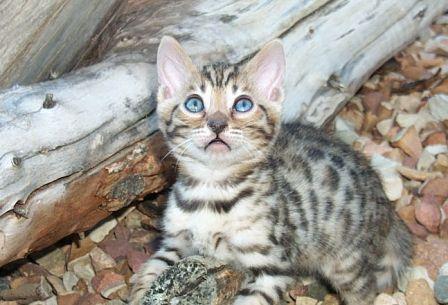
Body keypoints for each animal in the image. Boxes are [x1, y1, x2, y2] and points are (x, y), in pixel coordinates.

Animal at [128, 36, 412, 304]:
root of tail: (385, 203)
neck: (212, 189)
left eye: (243, 105)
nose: (217, 124)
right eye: (194, 104)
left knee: (364, 289)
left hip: (346, 260)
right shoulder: (174, 242)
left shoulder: (274, 268)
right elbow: (152, 270)